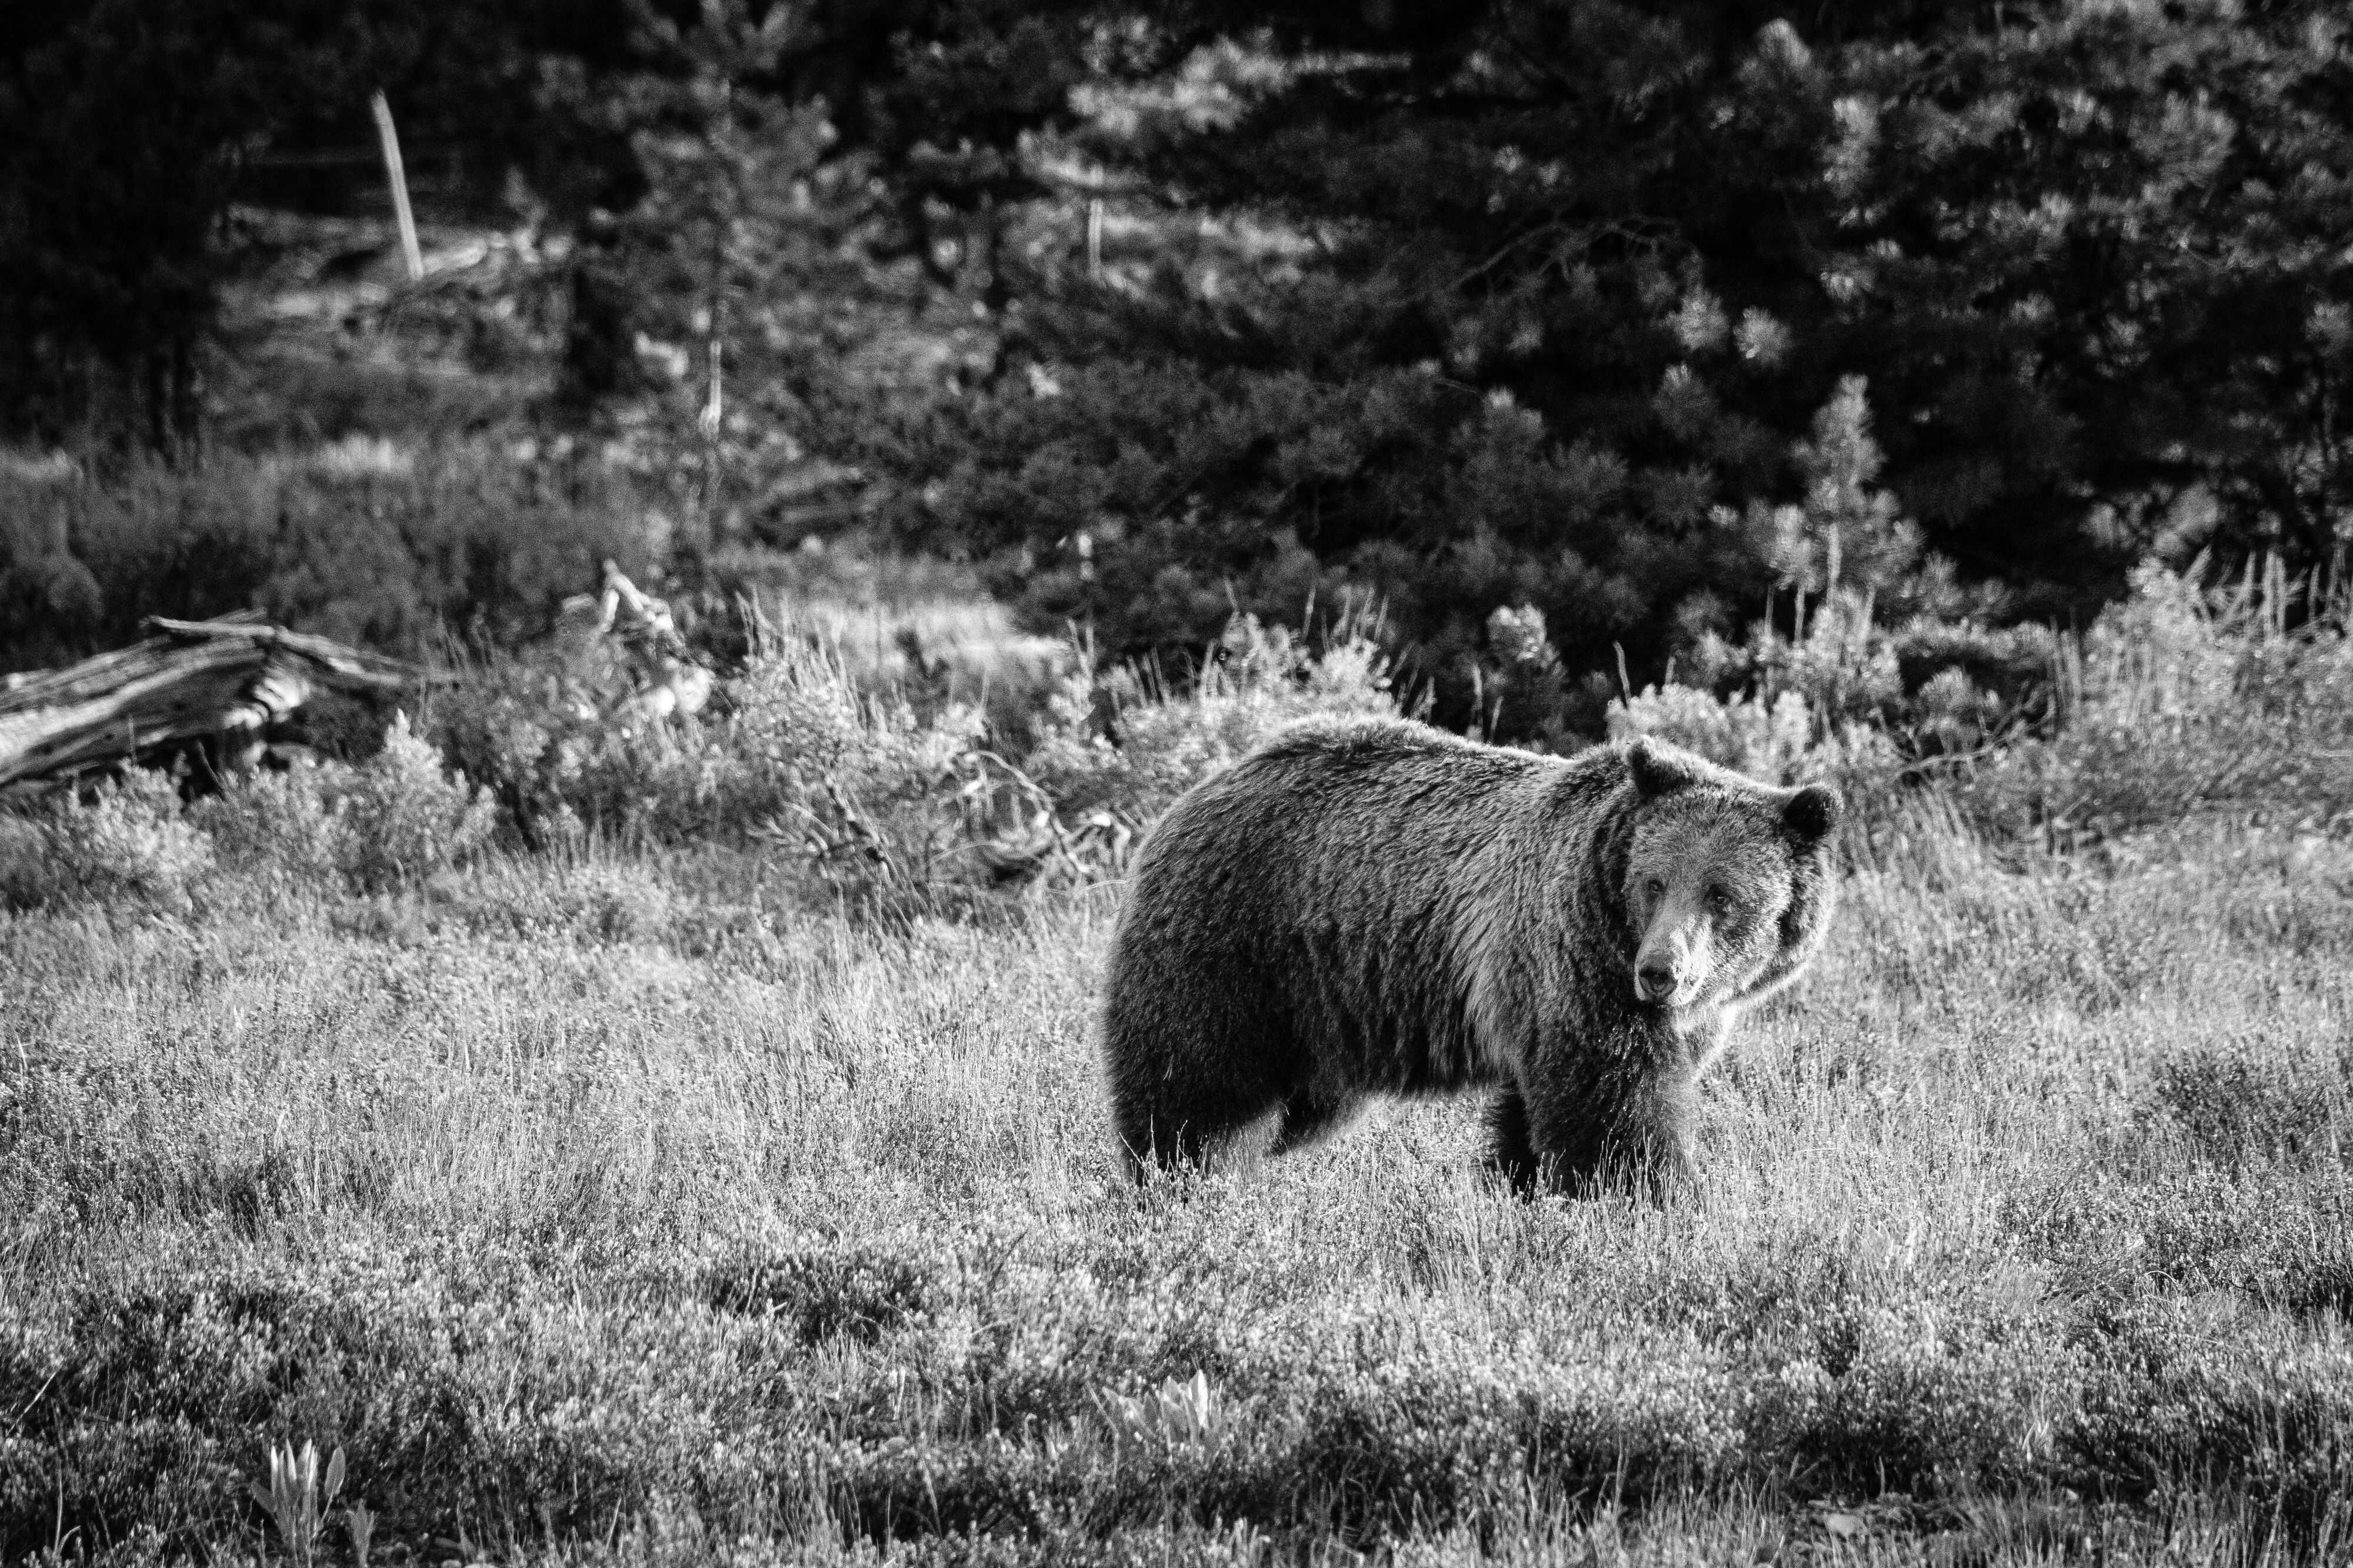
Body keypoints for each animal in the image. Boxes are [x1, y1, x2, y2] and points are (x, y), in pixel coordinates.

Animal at [1098, 716, 1841, 1195]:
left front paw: (1523, 1186)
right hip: (1236, 947)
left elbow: (1534, 1115)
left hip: (1321, 1011)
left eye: (1722, 894)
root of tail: (1196, 791)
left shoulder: (1654, 1015)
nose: (1659, 973)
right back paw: (1181, 1177)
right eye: (1653, 881)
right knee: (1200, 1087)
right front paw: (1648, 1199)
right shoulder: (1575, 963)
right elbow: (1615, 1111)